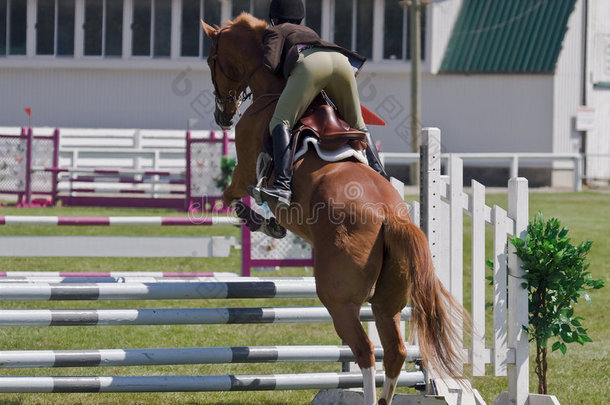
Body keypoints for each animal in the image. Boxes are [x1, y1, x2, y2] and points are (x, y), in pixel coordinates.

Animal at [202, 13, 464, 404]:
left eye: (212, 60)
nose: (223, 115)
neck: (271, 91)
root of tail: (391, 217)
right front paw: (271, 224)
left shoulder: (246, 169)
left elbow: (232, 196)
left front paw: (264, 222)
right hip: (388, 301)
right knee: (395, 351)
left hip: (338, 298)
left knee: (365, 351)